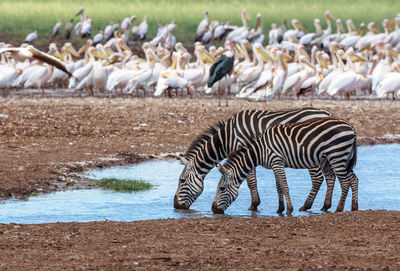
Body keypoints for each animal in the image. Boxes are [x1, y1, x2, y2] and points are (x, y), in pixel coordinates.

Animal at [174, 108, 338, 212]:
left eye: (182, 180)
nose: (175, 206)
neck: (227, 137)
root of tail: (328, 113)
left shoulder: (244, 149)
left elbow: (251, 181)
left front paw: (254, 205)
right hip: (325, 156)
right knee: (330, 176)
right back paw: (326, 206)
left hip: (312, 155)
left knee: (318, 179)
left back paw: (307, 206)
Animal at [212, 118, 360, 216]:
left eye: (222, 188)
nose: (213, 210)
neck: (260, 150)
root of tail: (351, 127)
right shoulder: (276, 164)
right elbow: (278, 187)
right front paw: (280, 209)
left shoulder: (277, 161)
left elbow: (284, 185)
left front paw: (289, 209)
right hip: (344, 158)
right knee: (354, 179)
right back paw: (354, 207)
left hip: (337, 156)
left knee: (345, 182)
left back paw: (339, 209)